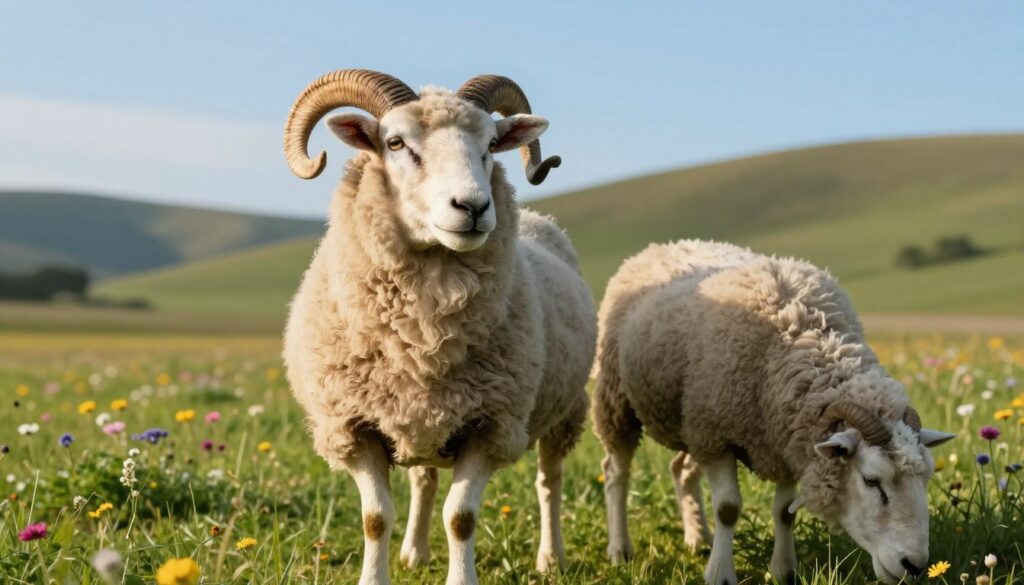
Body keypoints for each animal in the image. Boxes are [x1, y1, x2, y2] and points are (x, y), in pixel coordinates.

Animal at [280, 70, 595, 585]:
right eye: (394, 142)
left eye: (490, 144)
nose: (473, 206)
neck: (425, 334)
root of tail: (541, 219)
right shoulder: (354, 426)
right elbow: (375, 518)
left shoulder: (491, 425)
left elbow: (461, 517)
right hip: (417, 419)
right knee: (423, 478)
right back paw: (414, 552)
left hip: (564, 411)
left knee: (549, 480)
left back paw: (551, 558)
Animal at [591, 239, 955, 585]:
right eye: (870, 480)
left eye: (926, 478)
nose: (914, 566)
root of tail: (662, 245)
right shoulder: (717, 437)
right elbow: (727, 509)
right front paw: (720, 574)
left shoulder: (786, 442)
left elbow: (785, 513)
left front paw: (783, 571)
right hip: (619, 400)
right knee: (616, 472)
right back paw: (620, 550)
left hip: (688, 419)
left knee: (680, 468)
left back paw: (699, 539)